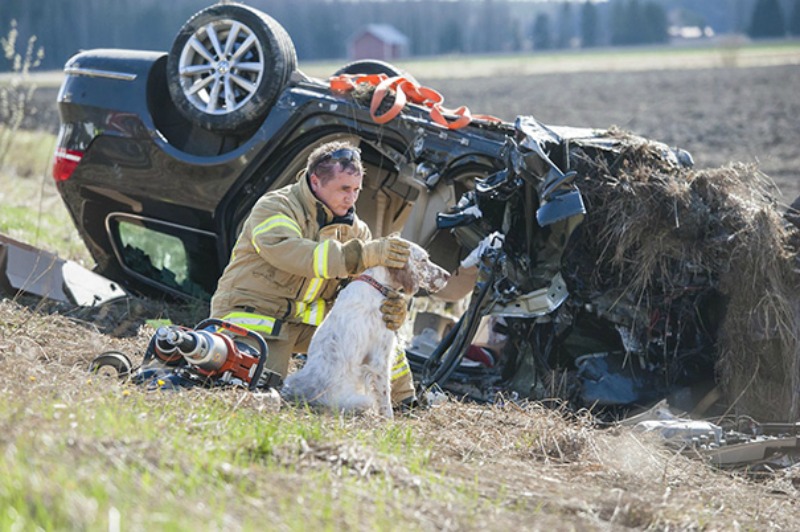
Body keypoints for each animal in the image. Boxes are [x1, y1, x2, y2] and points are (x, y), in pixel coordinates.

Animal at [280, 242, 450, 420]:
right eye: (423, 260)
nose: (448, 275)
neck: (377, 284)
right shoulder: (379, 359)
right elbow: (385, 397)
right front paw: (389, 421)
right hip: (362, 400)